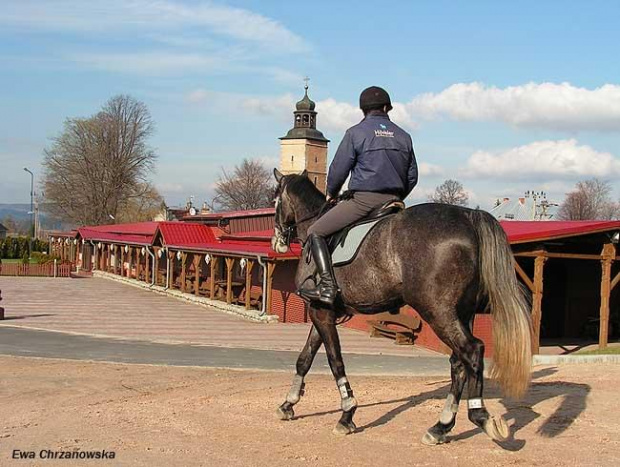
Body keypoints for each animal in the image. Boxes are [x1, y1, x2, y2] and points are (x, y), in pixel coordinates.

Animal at [268, 171, 532, 446]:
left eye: (274, 200)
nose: (277, 242)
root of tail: (469, 217)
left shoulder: (320, 312)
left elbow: (334, 361)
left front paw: (347, 414)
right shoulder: (324, 312)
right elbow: (304, 359)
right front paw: (288, 404)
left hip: (438, 312)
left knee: (472, 351)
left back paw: (479, 416)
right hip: (462, 313)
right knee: (459, 363)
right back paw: (440, 426)